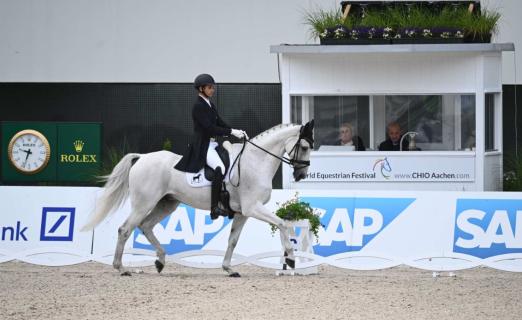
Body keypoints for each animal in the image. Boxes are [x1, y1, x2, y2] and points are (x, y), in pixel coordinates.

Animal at [79, 121, 310, 276]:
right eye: (306, 147)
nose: (301, 175)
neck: (255, 161)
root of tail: (142, 157)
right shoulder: (253, 207)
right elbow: (283, 223)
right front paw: (290, 258)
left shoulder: (243, 212)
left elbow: (233, 240)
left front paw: (228, 269)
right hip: (144, 203)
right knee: (125, 229)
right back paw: (121, 268)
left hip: (167, 204)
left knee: (146, 226)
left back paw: (160, 261)